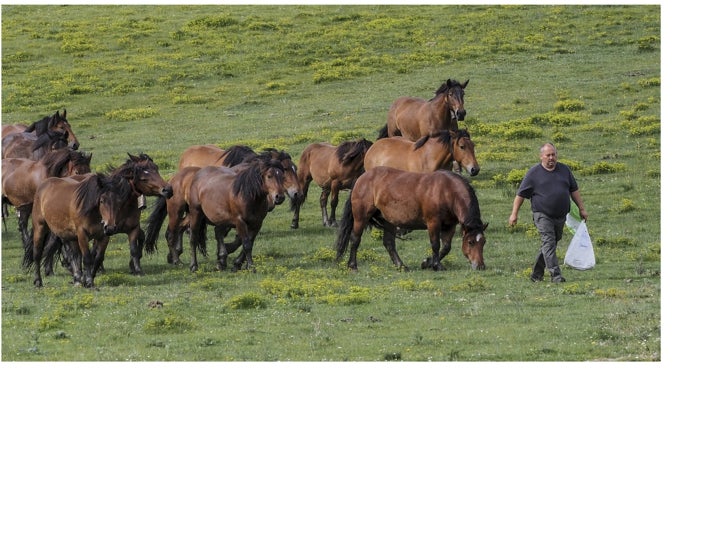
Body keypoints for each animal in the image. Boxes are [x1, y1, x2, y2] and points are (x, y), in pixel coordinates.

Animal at [338, 167, 490, 272]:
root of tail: (361, 178)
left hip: (389, 221)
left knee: (389, 243)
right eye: (470, 242)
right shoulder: (433, 223)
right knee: (355, 239)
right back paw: (352, 266)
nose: (480, 266)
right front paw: (436, 265)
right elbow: (435, 244)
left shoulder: (449, 225)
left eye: (483, 242)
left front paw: (427, 262)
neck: (447, 191)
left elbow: (446, 247)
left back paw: (401, 266)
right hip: (361, 217)